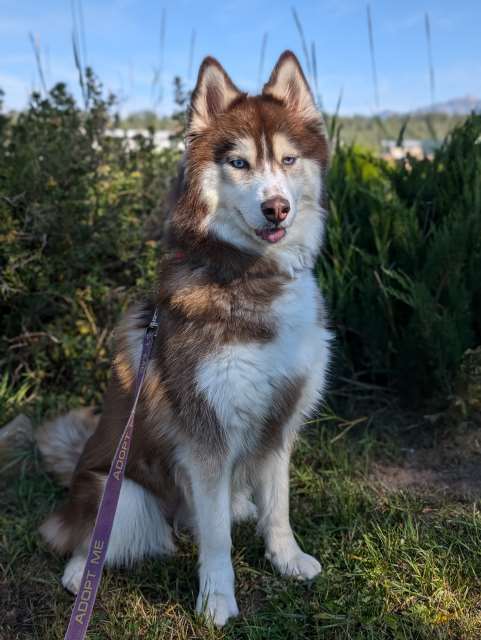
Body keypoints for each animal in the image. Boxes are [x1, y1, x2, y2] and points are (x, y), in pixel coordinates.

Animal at [36, 50, 330, 624]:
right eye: (238, 163)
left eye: (288, 160)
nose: (276, 208)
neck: (249, 277)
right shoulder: (204, 435)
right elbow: (216, 541)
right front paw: (217, 599)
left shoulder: (280, 418)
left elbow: (278, 506)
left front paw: (287, 558)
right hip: (122, 495)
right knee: (88, 537)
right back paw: (81, 574)